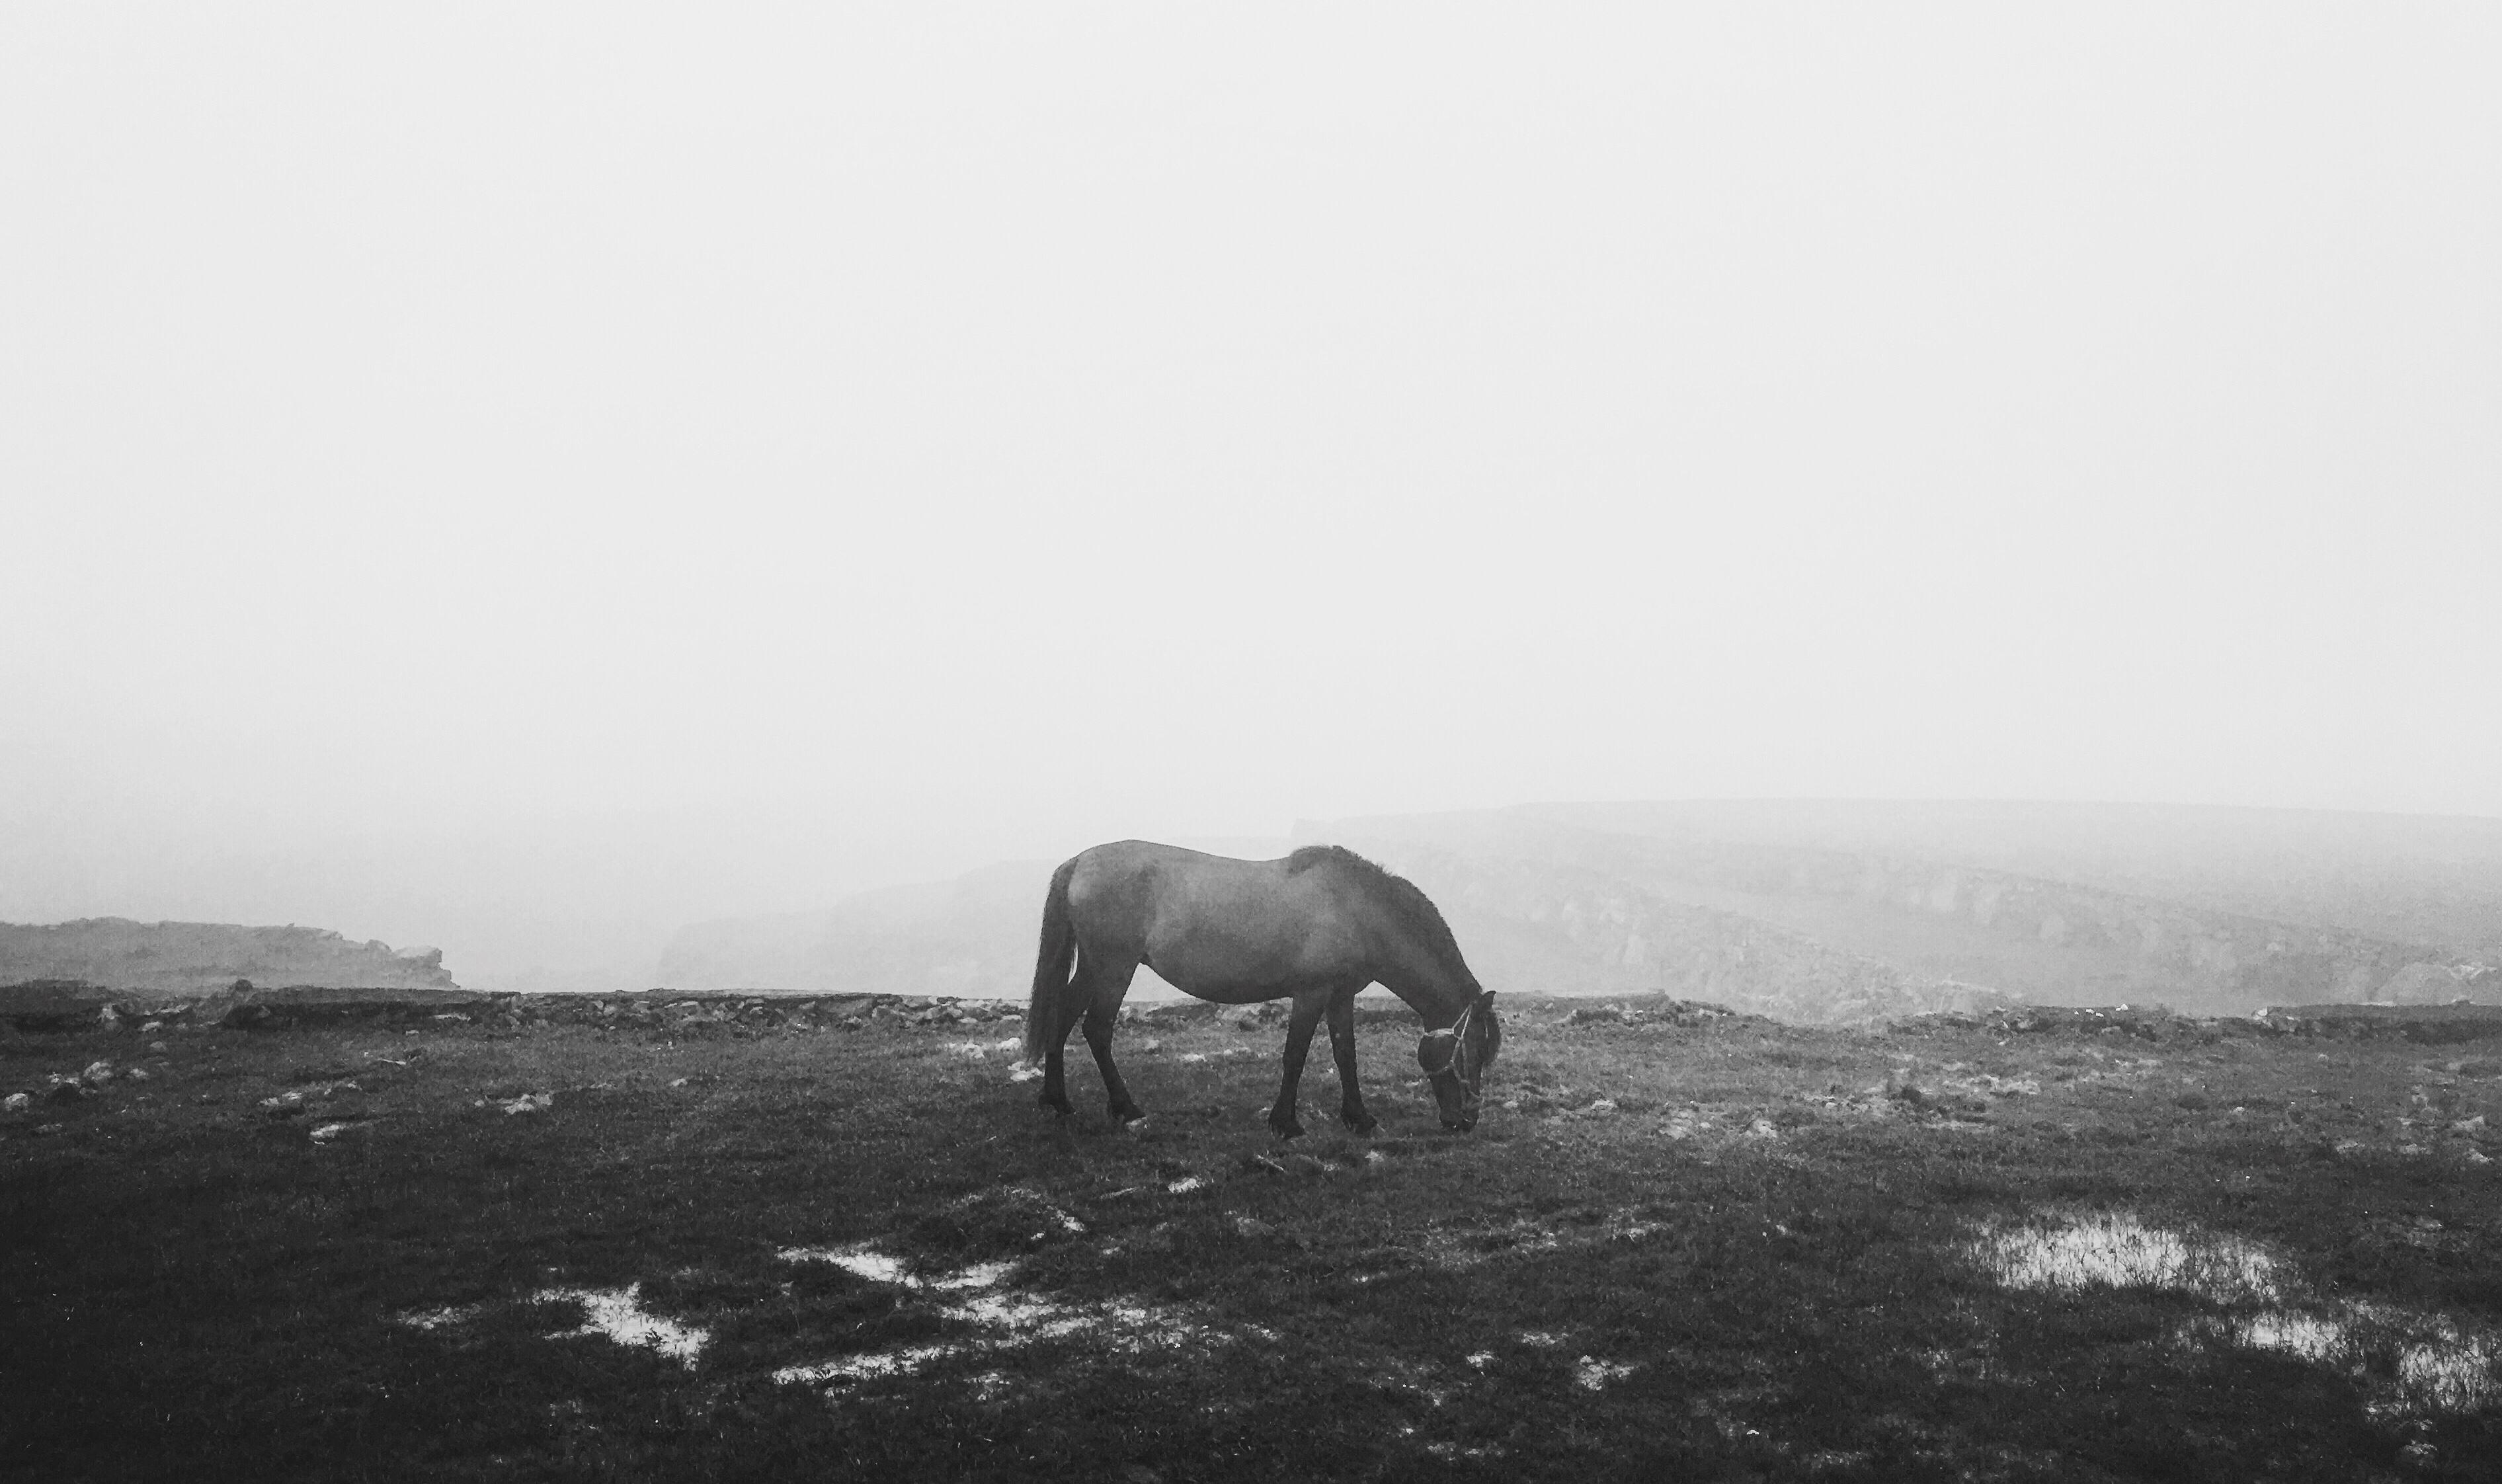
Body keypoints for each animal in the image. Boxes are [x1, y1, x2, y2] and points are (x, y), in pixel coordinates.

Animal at [1020, 845, 1501, 1136]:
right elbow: (1296, 1055)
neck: (1356, 908)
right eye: (1474, 1051)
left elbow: (1346, 1054)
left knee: (1062, 1019)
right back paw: (1126, 1108)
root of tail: (1078, 862)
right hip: (1113, 968)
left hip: (1094, 969)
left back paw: (1057, 1101)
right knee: (1097, 1030)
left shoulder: (1341, 995)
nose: (1466, 1121)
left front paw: (1359, 1118)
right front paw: (1286, 1123)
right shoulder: (1311, 993)